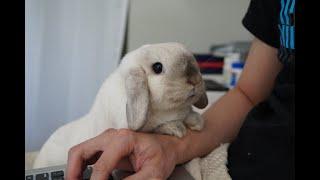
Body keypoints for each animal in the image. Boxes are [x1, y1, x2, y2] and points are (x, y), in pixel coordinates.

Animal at [32, 42, 208, 169]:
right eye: (158, 67)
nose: (194, 80)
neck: (170, 111)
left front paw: (197, 121)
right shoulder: (137, 127)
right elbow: (156, 127)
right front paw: (177, 129)